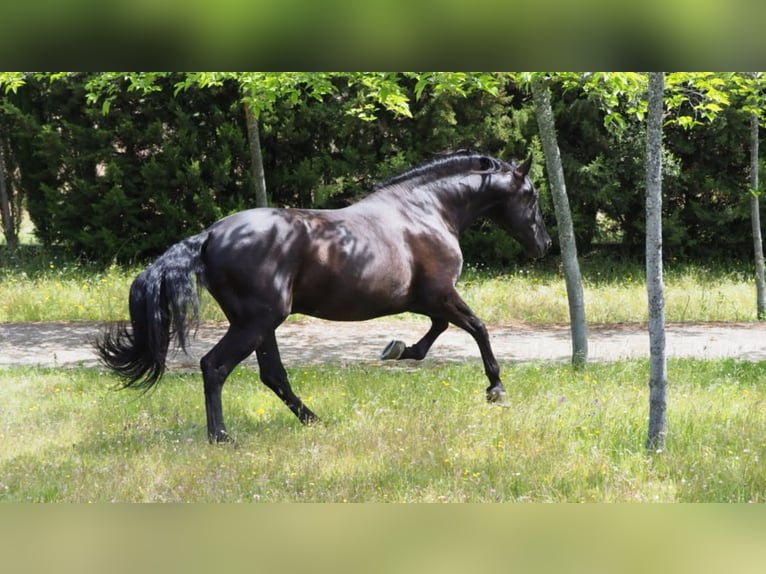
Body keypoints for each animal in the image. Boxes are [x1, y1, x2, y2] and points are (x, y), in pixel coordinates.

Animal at [97, 151, 552, 444]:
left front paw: (398, 349)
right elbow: (478, 328)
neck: (425, 211)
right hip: (256, 322)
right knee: (216, 366)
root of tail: (209, 236)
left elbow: (437, 332)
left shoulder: (427, 301)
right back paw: (222, 436)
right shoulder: (440, 294)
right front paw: (496, 389)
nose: (544, 244)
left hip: (261, 325)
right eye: (531, 195)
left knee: (272, 375)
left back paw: (313, 420)